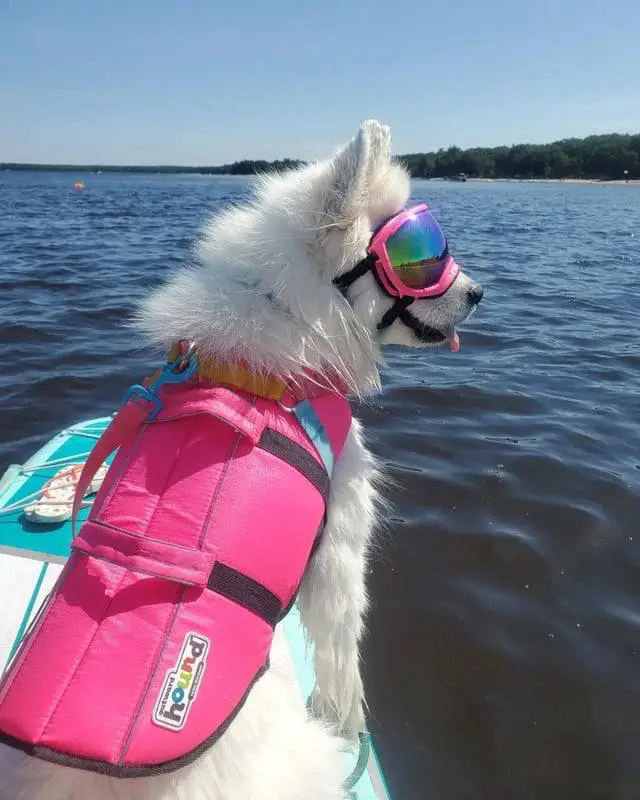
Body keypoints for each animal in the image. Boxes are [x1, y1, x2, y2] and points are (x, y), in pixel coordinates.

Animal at [0, 119, 482, 800]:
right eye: (420, 259)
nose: (479, 293)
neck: (291, 317)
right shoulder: (341, 550)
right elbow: (345, 668)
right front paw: (355, 728)